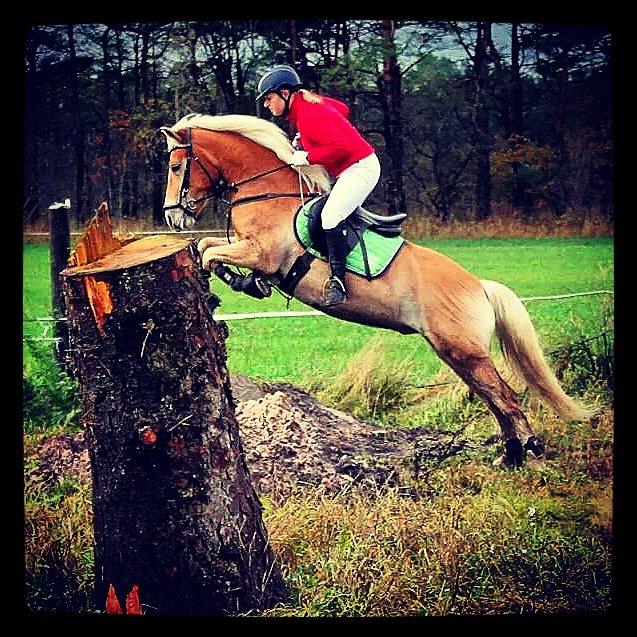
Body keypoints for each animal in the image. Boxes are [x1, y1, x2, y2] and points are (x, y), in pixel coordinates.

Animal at [159, 113, 592, 468]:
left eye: (176, 166)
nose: (172, 217)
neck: (268, 193)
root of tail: (480, 287)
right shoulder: (246, 247)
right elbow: (205, 245)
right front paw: (226, 282)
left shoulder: (261, 253)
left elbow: (211, 253)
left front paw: (239, 283)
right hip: (456, 353)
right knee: (493, 398)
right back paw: (511, 456)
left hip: (465, 351)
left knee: (507, 398)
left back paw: (530, 453)